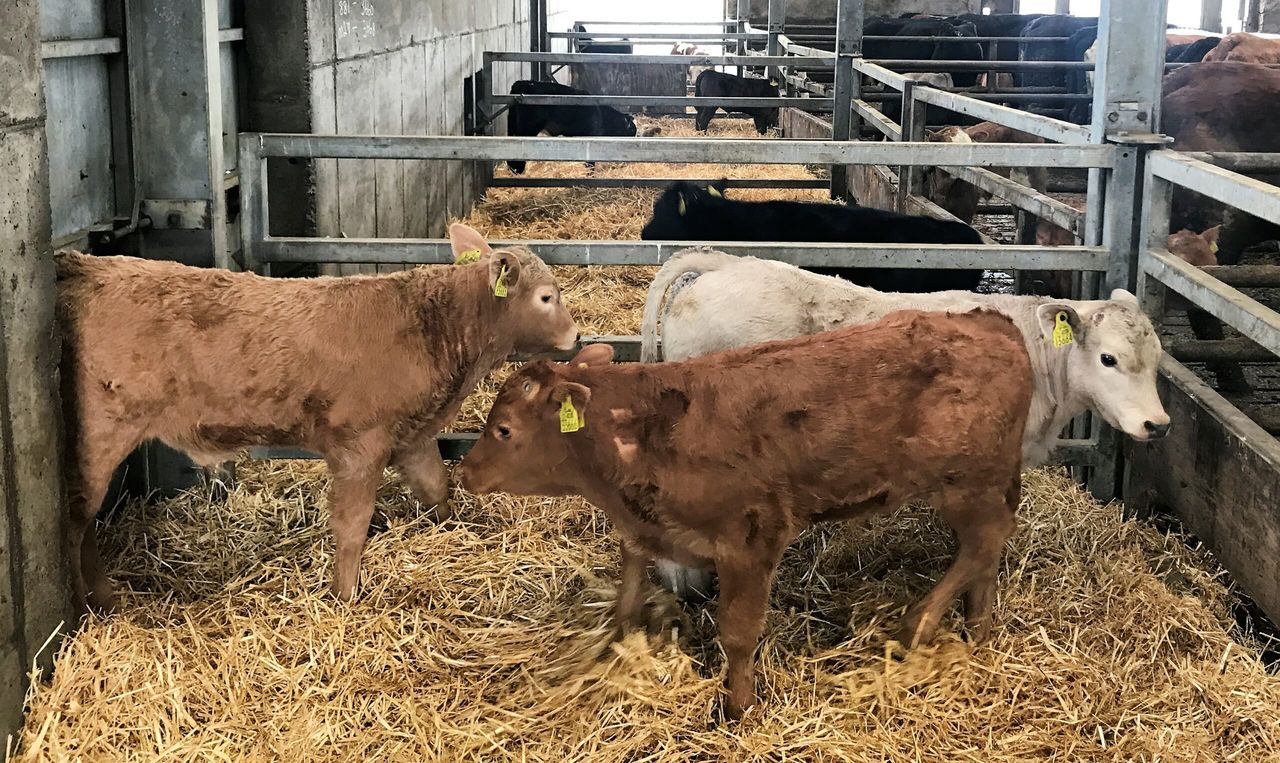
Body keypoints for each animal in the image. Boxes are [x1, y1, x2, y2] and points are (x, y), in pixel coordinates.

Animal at [56, 224, 578, 612]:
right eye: (546, 297)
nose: (575, 336)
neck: (435, 328)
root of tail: (85, 265)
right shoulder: (360, 443)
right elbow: (352, 523)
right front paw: (345, 596)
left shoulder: (411, 435)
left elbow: (436, 489)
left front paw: (455, 533)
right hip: (98, 433)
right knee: (77, 520)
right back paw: (91, 604)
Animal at [461, 310, 1034, 719]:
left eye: (504, 429)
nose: (465, 472)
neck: (641, 431)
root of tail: (990, 320)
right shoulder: (647, 529)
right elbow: (625, 602)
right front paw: (615, 651)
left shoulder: (751, 537)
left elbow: (738, 633)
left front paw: (738, 709)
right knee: (984, 553)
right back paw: (977, 627)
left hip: (968, 484)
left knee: (987, 540)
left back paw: (920, 623)